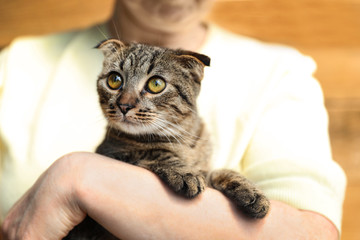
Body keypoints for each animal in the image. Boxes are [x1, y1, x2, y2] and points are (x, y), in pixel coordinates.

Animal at [63, 39, 268, 240]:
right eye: (114, 80)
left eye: (156, 84)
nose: (124, 105)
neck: (183, 141)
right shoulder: (111, 153)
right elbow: (152, 153)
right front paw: (185, 173)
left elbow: (218, 172)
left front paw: (250, 190)